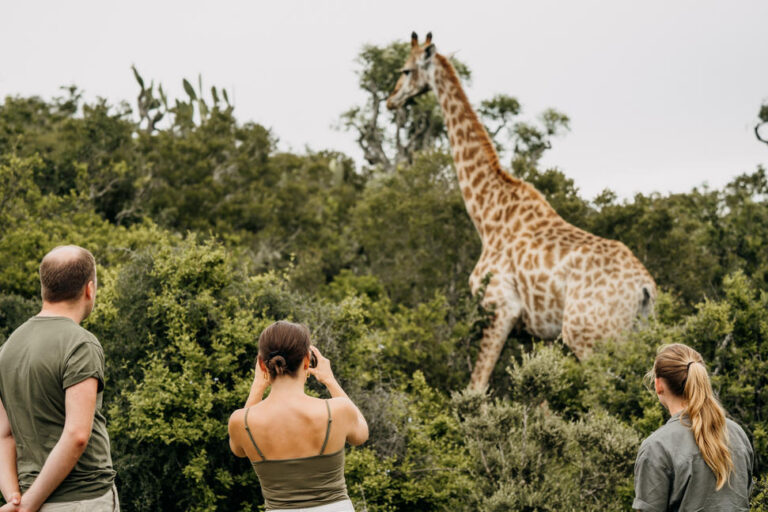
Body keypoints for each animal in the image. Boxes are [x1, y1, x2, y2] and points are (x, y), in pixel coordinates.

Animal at [387, 32, 657, 391]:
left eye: (405, 70)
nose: (390, 100)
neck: (487, 213)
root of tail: (645, 288)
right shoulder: (534, 333)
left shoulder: (500, 308)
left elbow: (476, 388)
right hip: (634, 334)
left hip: (590, 337)